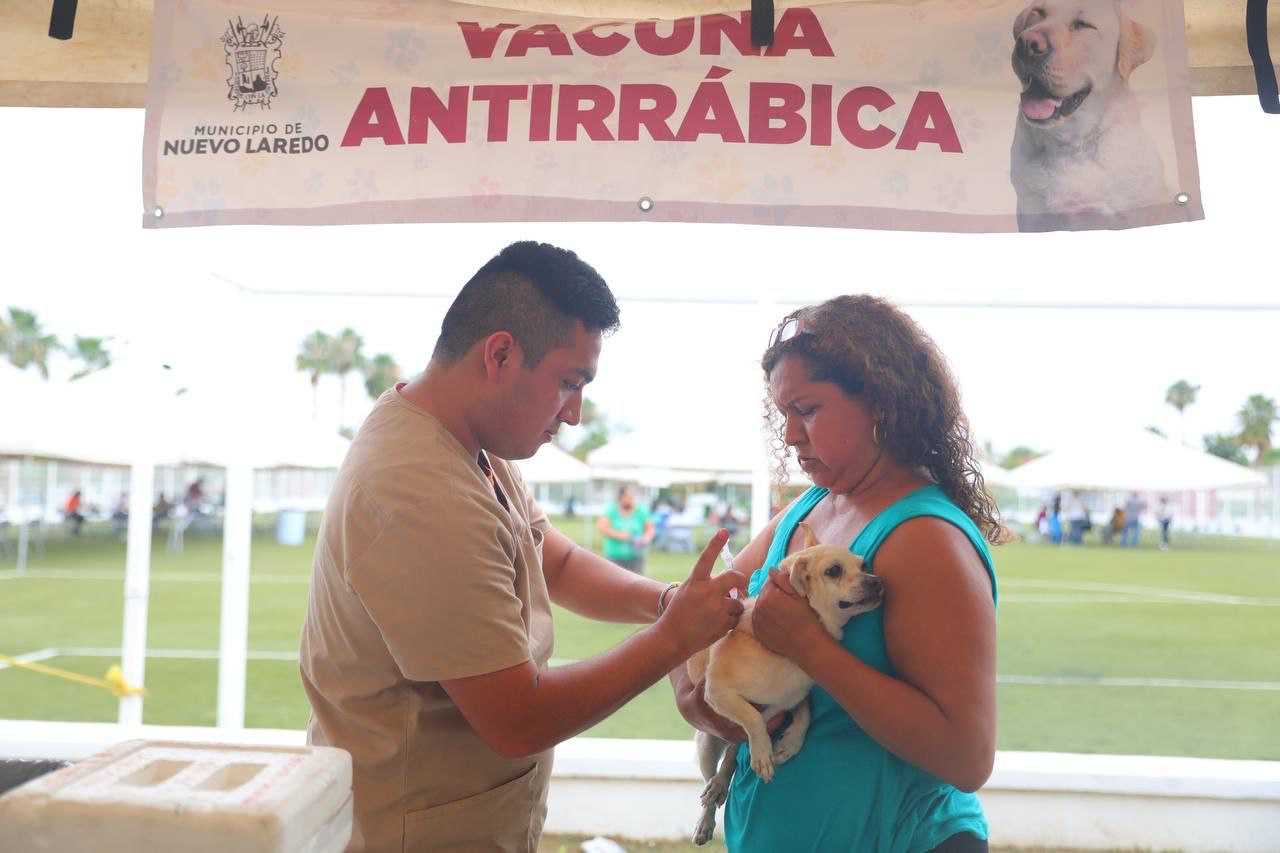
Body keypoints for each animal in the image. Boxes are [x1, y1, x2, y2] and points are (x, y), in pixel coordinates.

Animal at [691, 522, 880, 840]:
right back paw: (706, 815)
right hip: (706, 744)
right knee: (711, 774)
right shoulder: (718, 692)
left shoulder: (794, 696)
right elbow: (753, 718)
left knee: (731, 754)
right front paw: (763, 753)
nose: (877, 581)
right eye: (833, 571)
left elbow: (804, 714)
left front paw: (789, 744)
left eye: (864, 565)